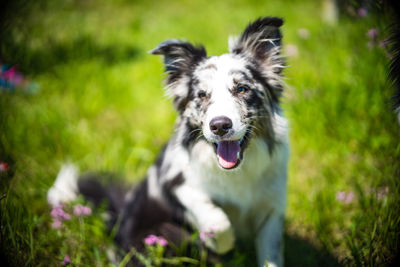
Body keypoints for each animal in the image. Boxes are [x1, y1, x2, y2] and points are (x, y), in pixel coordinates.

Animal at [48, 17, 290, 267]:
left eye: (242, 89)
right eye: (202, 95)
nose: (220, 126)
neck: (236, 172)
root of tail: (119, 224)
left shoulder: (271, 209)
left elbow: (271, 255)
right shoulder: (177, 185)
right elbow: (218, 222)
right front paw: (219, 242)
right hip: (166, 233)